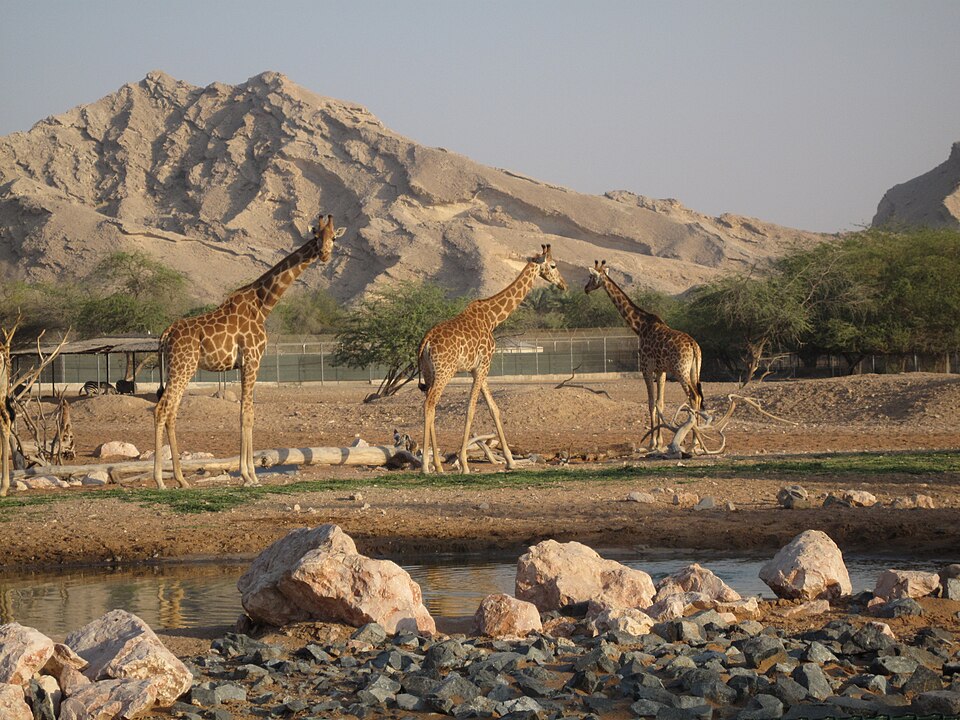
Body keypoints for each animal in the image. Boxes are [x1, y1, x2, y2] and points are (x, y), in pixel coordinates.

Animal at [153, 214, 345, 489]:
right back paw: (160, 480)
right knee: (162, 409)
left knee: (171, 411)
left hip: (177, 368)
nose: (325, 254)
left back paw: (181, 479)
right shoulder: (253, 360)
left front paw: (250, 474)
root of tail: (167, 333)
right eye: (316, 236)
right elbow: (247, 414)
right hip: (183, 366)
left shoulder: (246, 364)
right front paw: (249, 475)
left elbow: (246, 414)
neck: (263, 304)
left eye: (334, 238)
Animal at [418, 245, 567, 474]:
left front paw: (510, 461)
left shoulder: (478, 368)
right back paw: (426, 466)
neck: (492, 319)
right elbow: (471, 409)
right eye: (553, 265)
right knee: (430, 403)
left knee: (430, 405)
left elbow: (493, 408)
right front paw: (464, 463)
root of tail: (426, 342)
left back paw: (438, 465)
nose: (563, 285)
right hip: (445, 371)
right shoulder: (484, 365)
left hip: (429, 372)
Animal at [585, 260, 703, 451]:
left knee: (693, 396)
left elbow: (650, 403)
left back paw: (695, 442)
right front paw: (659, 442)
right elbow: (659, 403)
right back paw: (697, 440)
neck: (639, 327)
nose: (585, 288)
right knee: (698, 396)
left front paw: (652, 443)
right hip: (694, 370)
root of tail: (694, 346)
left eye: (590, 276)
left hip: (681, 371)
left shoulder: (646, 369)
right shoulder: (661, 371)